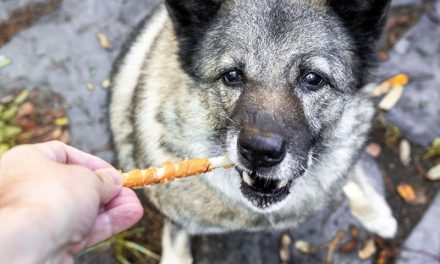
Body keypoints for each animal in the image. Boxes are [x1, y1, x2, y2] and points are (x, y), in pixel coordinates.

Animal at [109, 1, 396, 262]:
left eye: (313, 78)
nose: (260, 152)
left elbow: (353, 172)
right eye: (232, 75)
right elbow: (176, 240)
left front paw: (375, 212)